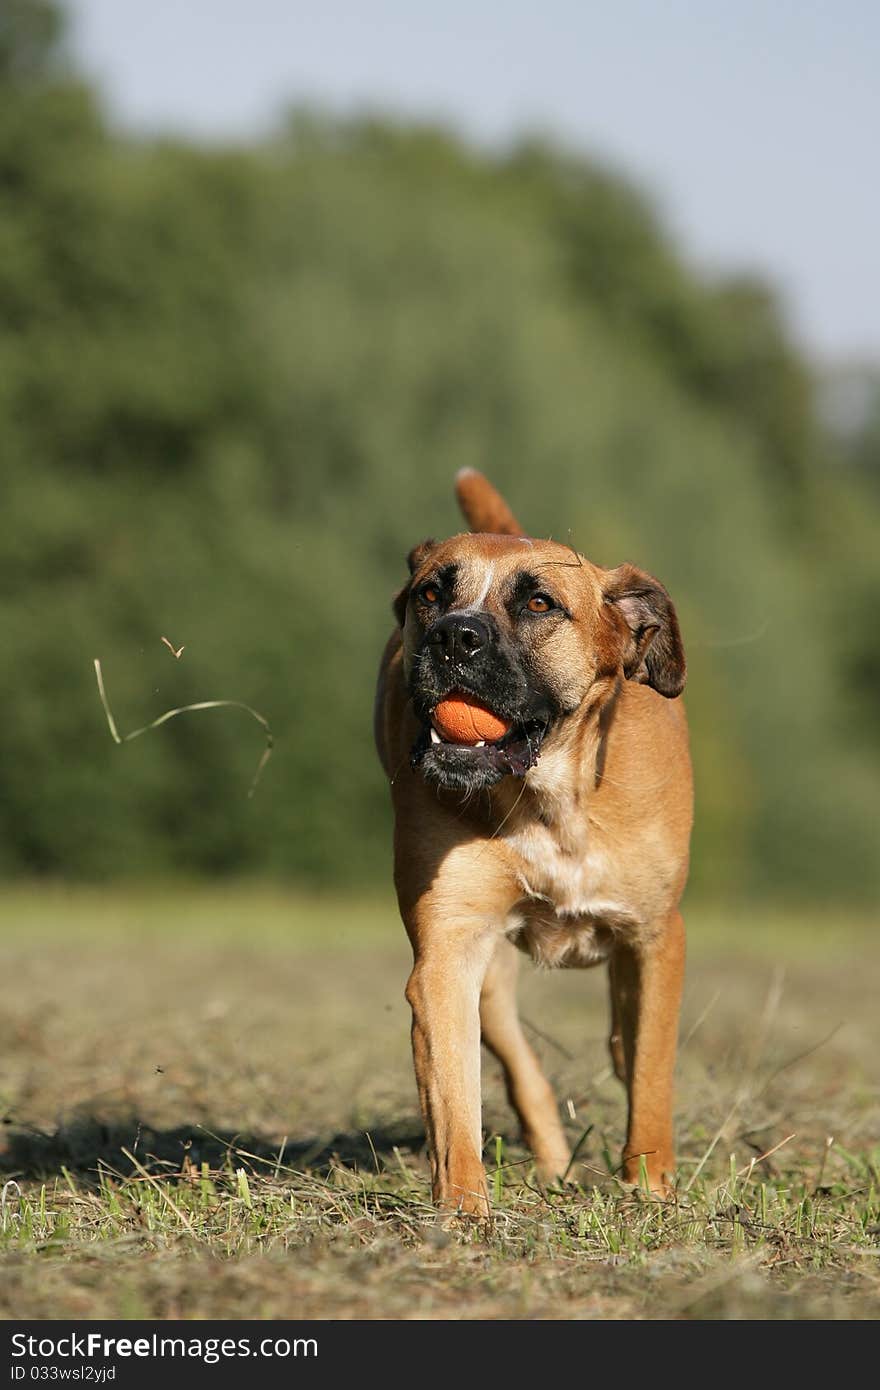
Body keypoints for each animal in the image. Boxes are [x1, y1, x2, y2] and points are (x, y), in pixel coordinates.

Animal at [375, 475, 689, 1217]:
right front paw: (463, 1210)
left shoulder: (658, 936)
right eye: (431, 594)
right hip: (489, 977)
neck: (550, 800)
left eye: (540, 603)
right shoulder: (448, 948)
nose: (453, 635)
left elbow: (651, 1071)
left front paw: (648, 1187)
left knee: (622, 1043)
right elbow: (453, 1099)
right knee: (519, 1065)